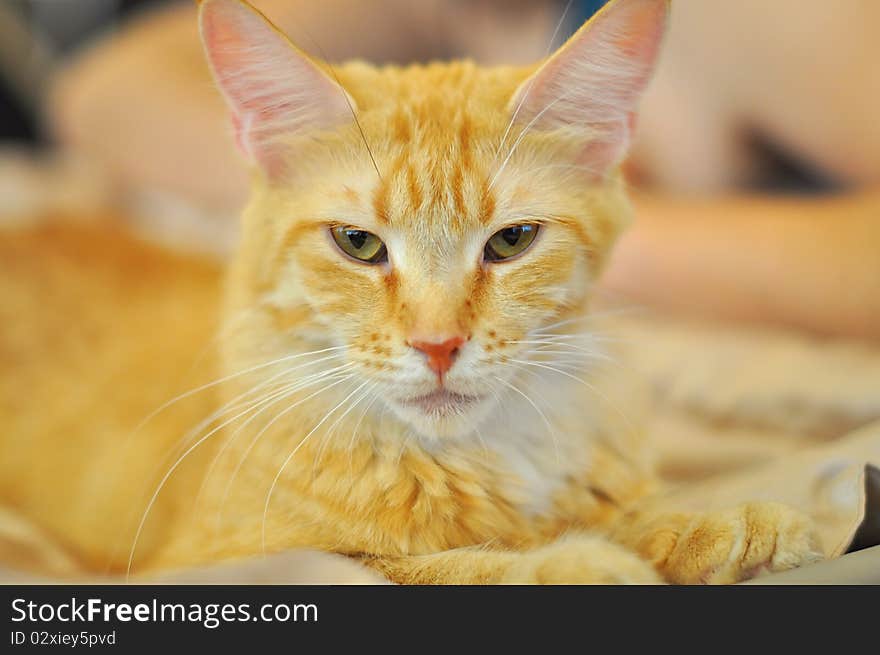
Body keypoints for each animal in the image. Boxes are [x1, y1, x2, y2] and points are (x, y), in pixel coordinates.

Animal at [1, 0, 824, 584]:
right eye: (358, 243)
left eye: (511, 242)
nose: (438, 346)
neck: (473, 454)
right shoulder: (228, 559)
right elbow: (443, 568)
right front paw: (575, 561)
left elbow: (633, 511)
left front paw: (715, 525)